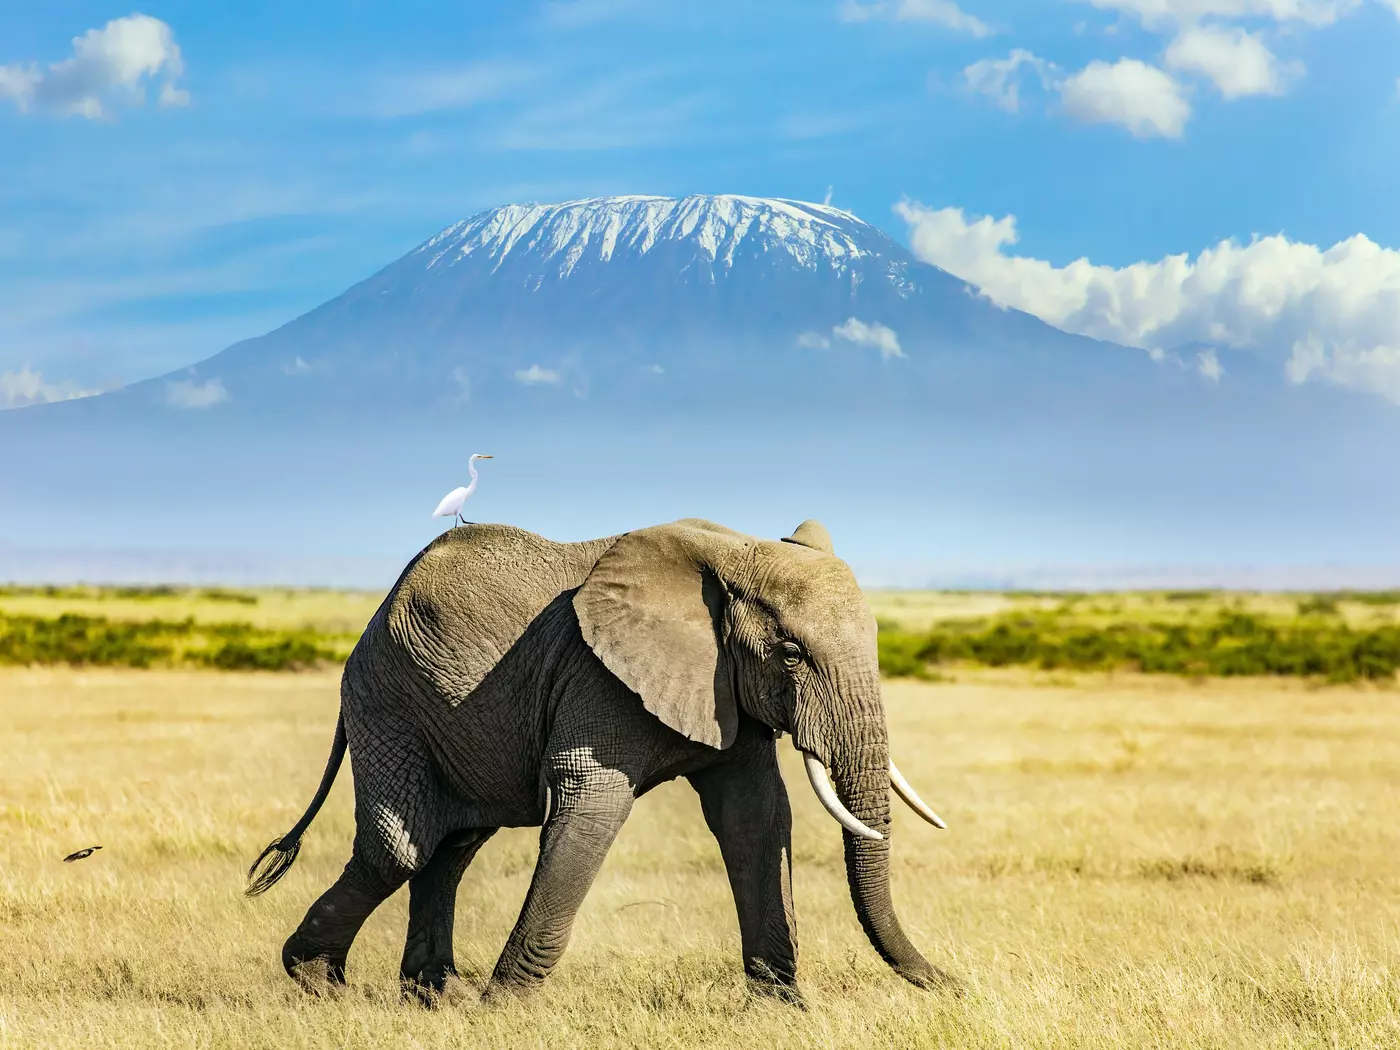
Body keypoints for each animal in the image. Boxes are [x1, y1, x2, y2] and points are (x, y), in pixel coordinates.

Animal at [246, 516, 955, 1006]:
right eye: (790, 653)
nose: (954, 983)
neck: (731, 550)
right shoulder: (597, 677)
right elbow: (593, 807)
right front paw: (503, 1012)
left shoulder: (725, 687)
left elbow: (754, 817)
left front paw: (783, 1010)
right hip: (386, 702)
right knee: (404, 850)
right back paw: (319, 983)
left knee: (452, 848)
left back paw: (435, 998)